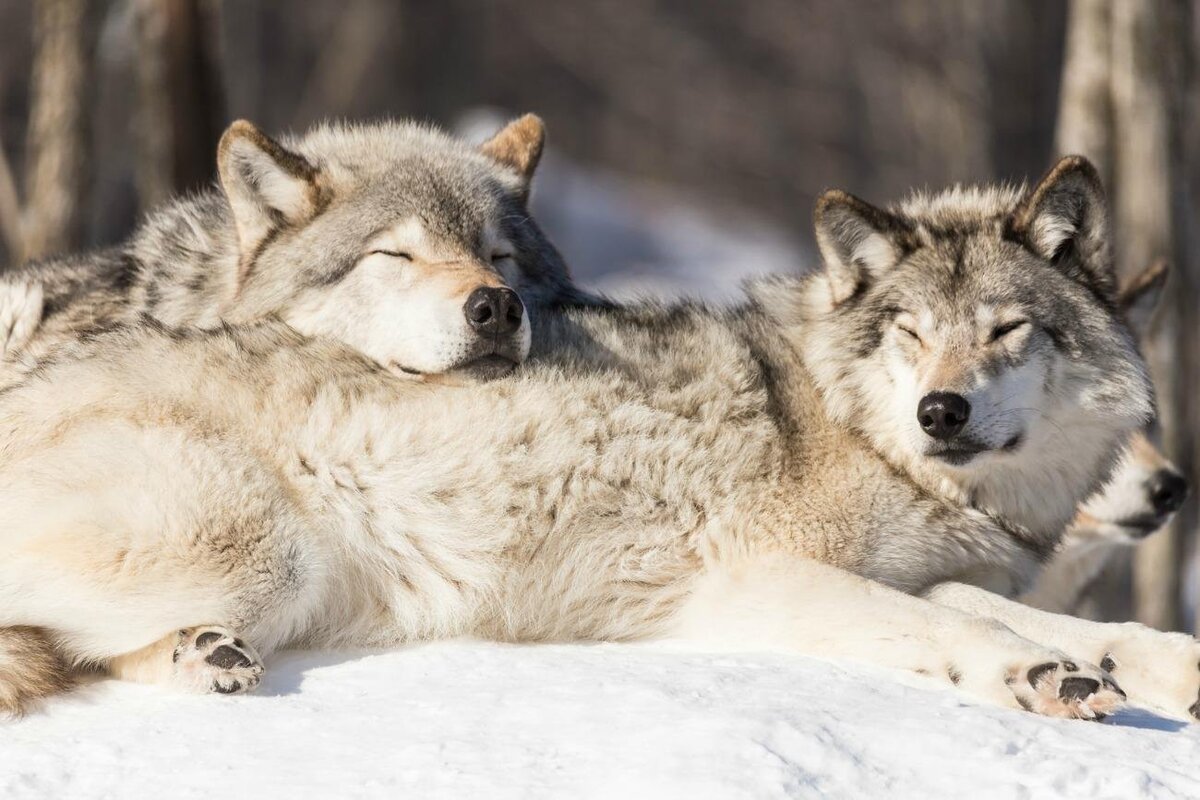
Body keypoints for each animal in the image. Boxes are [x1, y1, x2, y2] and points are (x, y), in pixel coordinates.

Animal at [2, 154, 1200, 719]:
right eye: (911, 331)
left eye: (1006, 330)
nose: (940, 411)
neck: (850, 423)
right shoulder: (762, 578)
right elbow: (964, 627)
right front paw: (1035, 673)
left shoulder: (928, 569)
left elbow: (1061, 623)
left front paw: (1137, 667)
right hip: (254, 548)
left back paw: (202, 653)